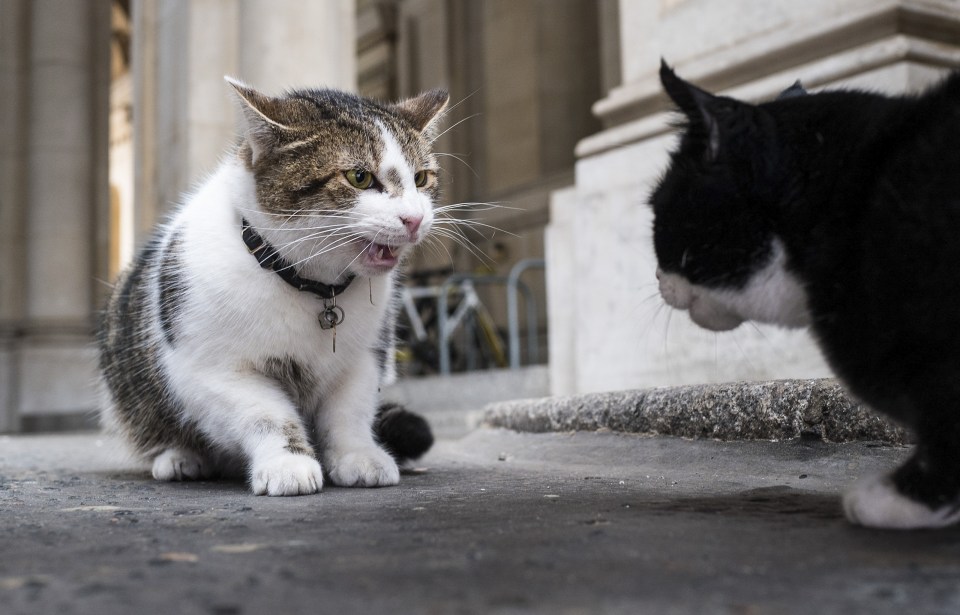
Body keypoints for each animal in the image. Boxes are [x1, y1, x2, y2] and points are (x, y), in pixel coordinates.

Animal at [97, 79, 442, 498]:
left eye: (421, 179)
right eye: (359, 177)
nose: (415, 219)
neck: (314, 287)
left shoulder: (364, 358)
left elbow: (350, 412)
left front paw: (359, 456)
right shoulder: (213, 369)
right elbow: (267, 415)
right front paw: (288, 464)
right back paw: (180, 458)